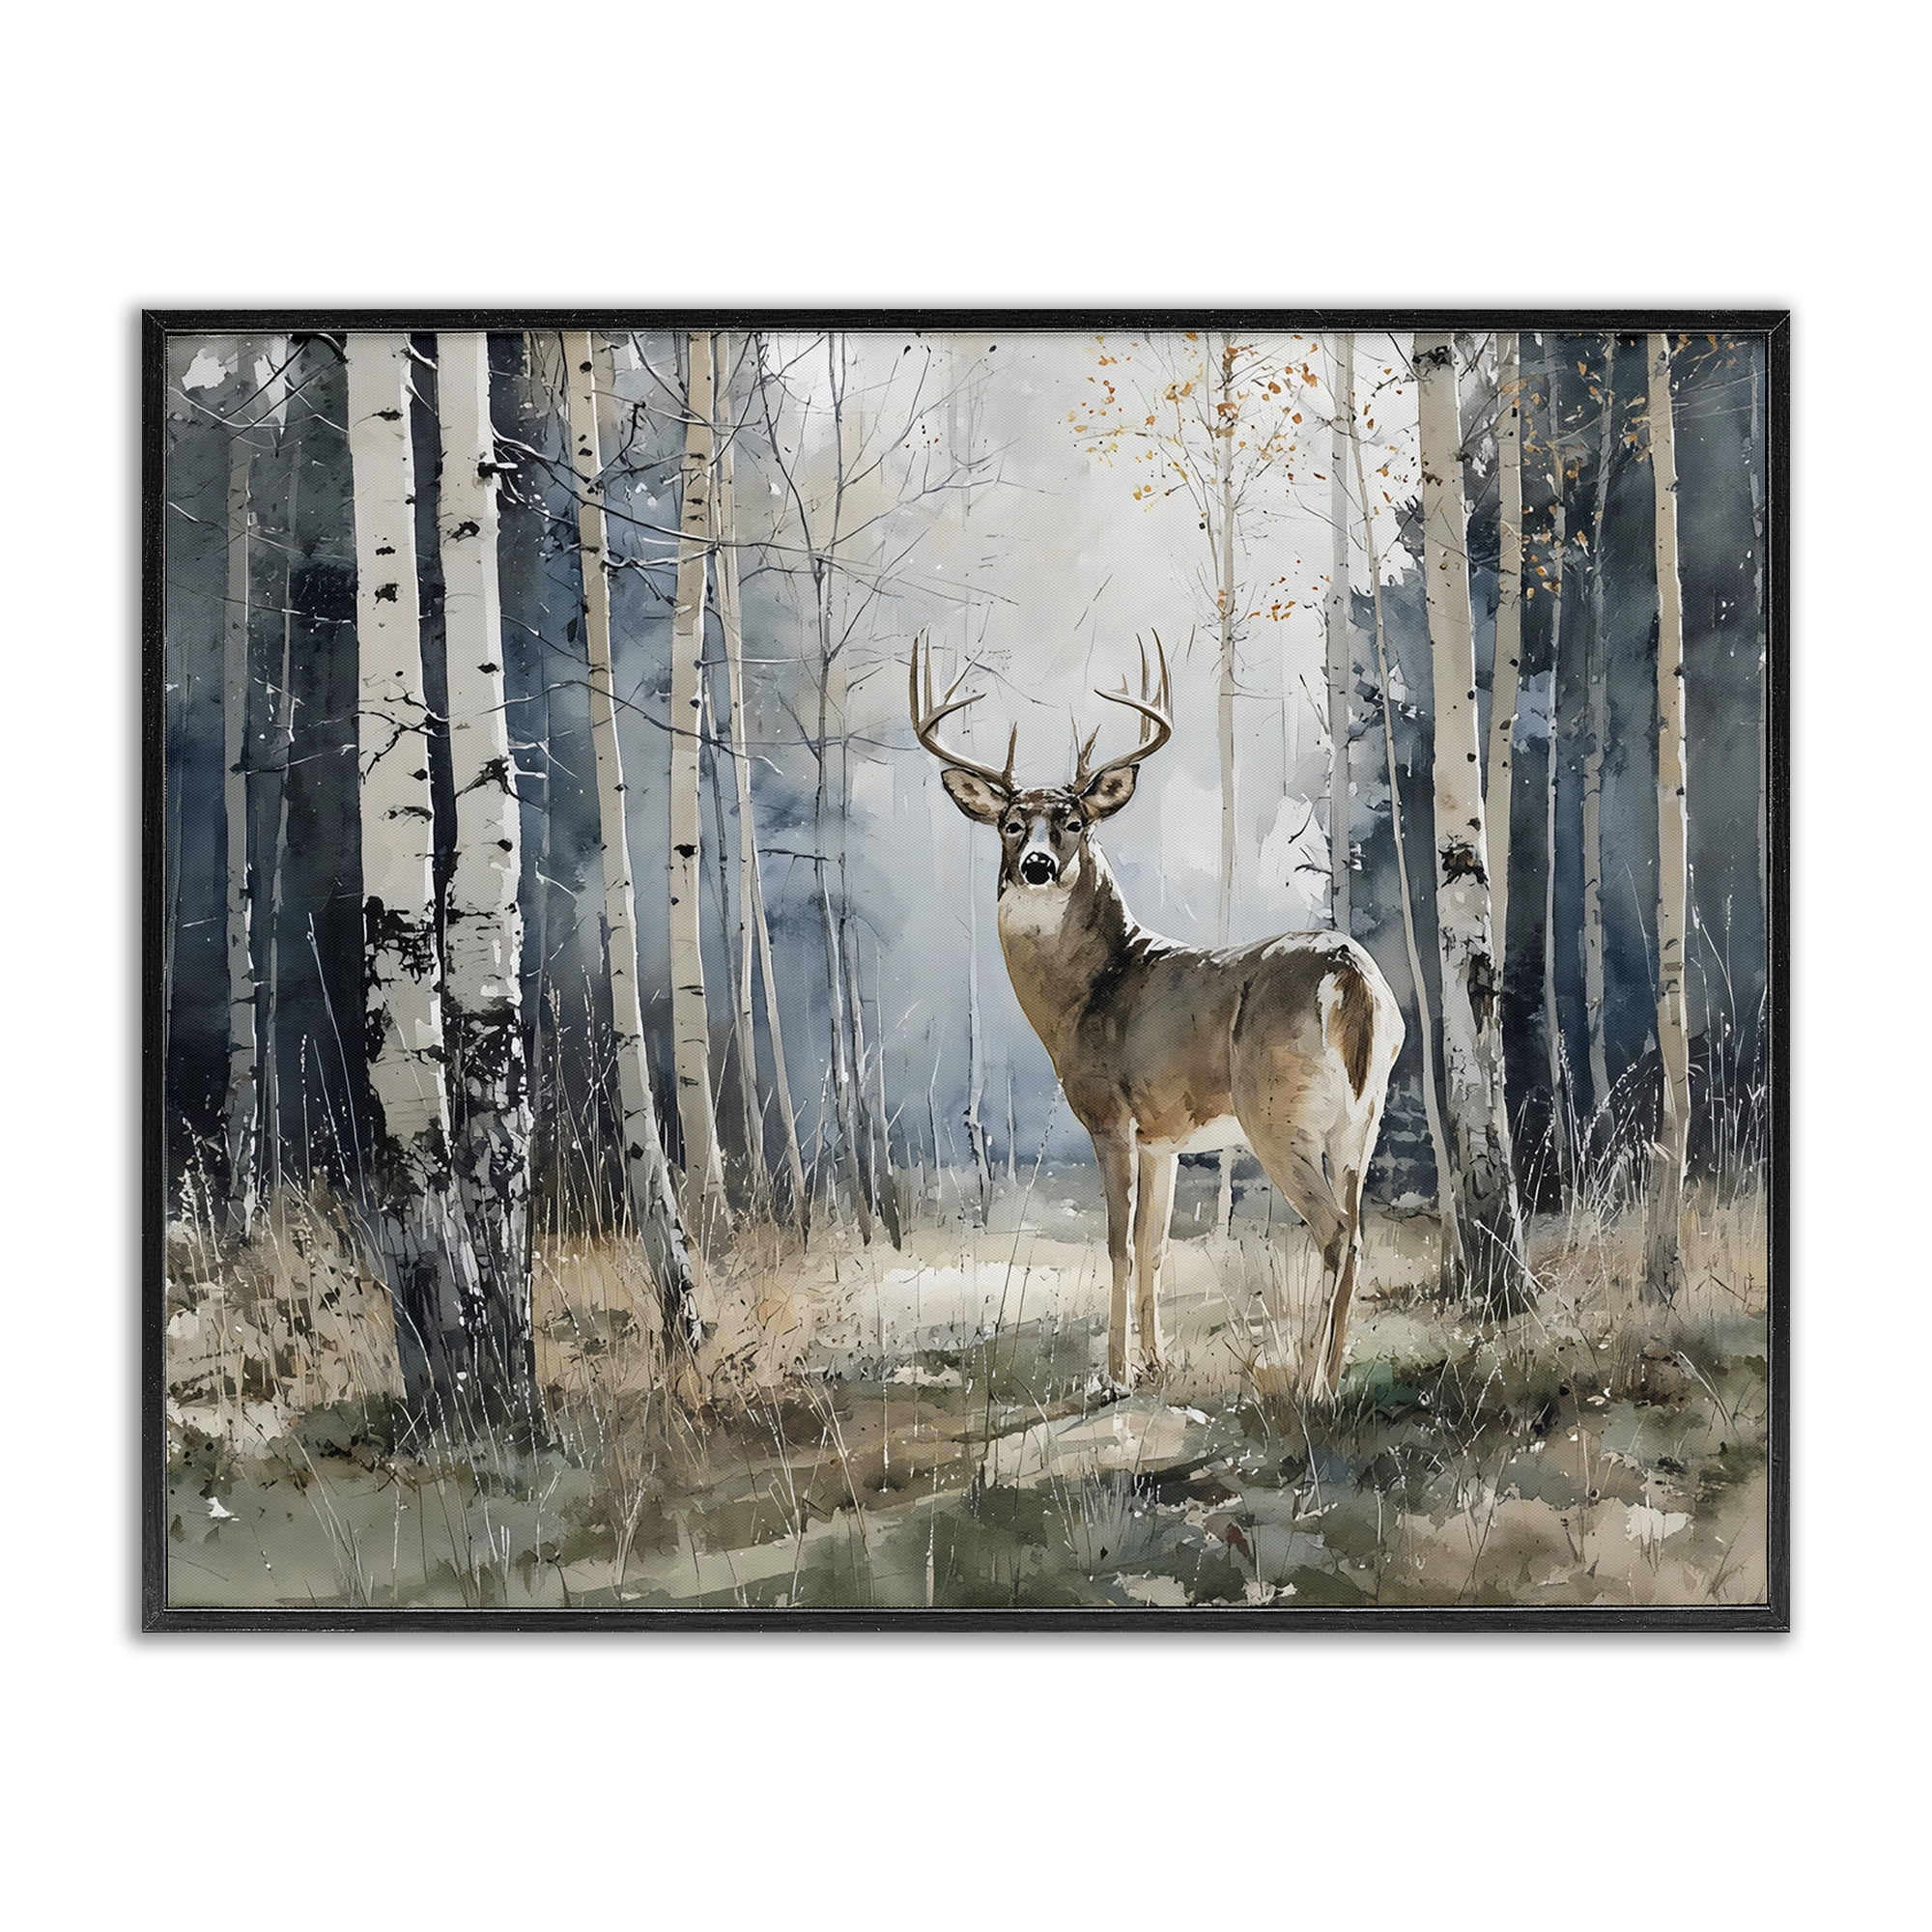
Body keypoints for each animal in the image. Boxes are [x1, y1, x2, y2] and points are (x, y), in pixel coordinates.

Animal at [910, 636, 1404, 1399]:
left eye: (1075, 822)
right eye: (1010, 824)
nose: (1038, 865)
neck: (1088, 992)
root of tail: (1349, 975)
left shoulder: (1110, 1116)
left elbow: (1116, 1243)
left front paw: (1112, 1376)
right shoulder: (1164, 1137)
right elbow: (1154, 1246)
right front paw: (1155, 1363)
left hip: (1276, 1112)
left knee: (1331, 1230)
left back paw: (1307, 1385)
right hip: (1363, 1116)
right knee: (1356, 1228)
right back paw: (1332, 1377)